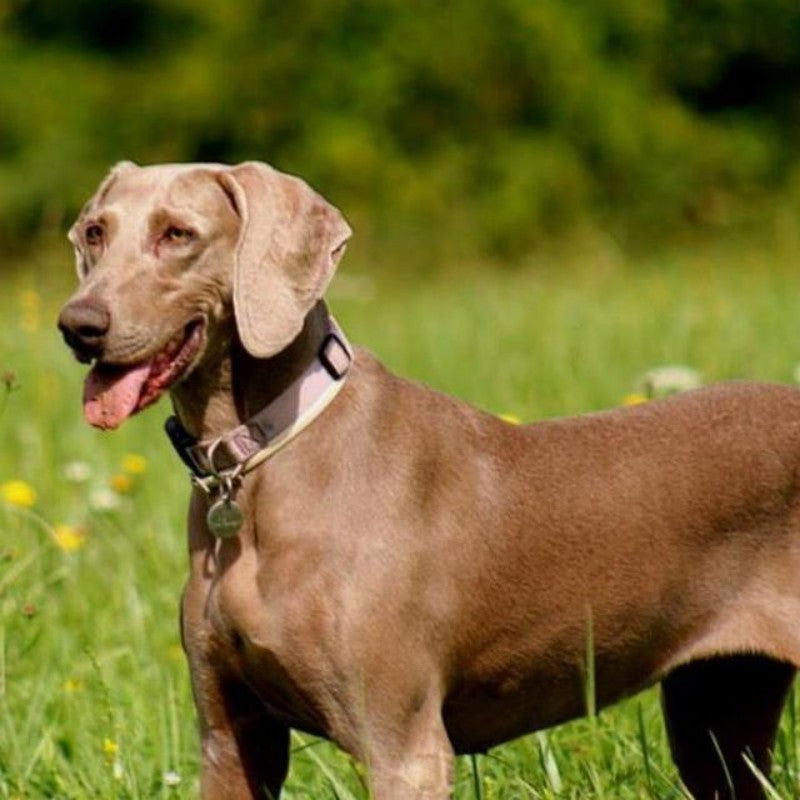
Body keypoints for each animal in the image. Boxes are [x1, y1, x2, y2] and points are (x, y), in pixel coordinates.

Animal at [57, 159, 800, 796]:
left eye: (177, 233)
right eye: (95, 231)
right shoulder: (232, 738)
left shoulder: (403, 746)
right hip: (717, 711)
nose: (77, 324)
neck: (256, 460)